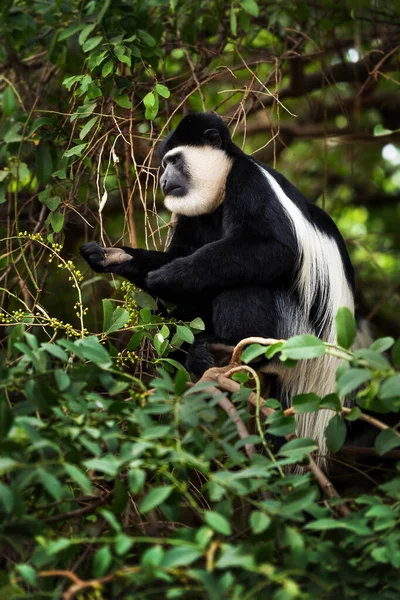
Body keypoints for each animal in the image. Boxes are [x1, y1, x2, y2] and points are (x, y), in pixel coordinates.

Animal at [81, 112, 368, 464]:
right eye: (165, 163)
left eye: (174, 161)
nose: (163, 180)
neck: (219, 190)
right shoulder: (191, 214)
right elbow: (181, 251)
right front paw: (113, 257)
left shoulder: (249, 183)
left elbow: (275, 247)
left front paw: (171, 275)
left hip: (294, 338)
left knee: (244, 282)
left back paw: (230, 347)